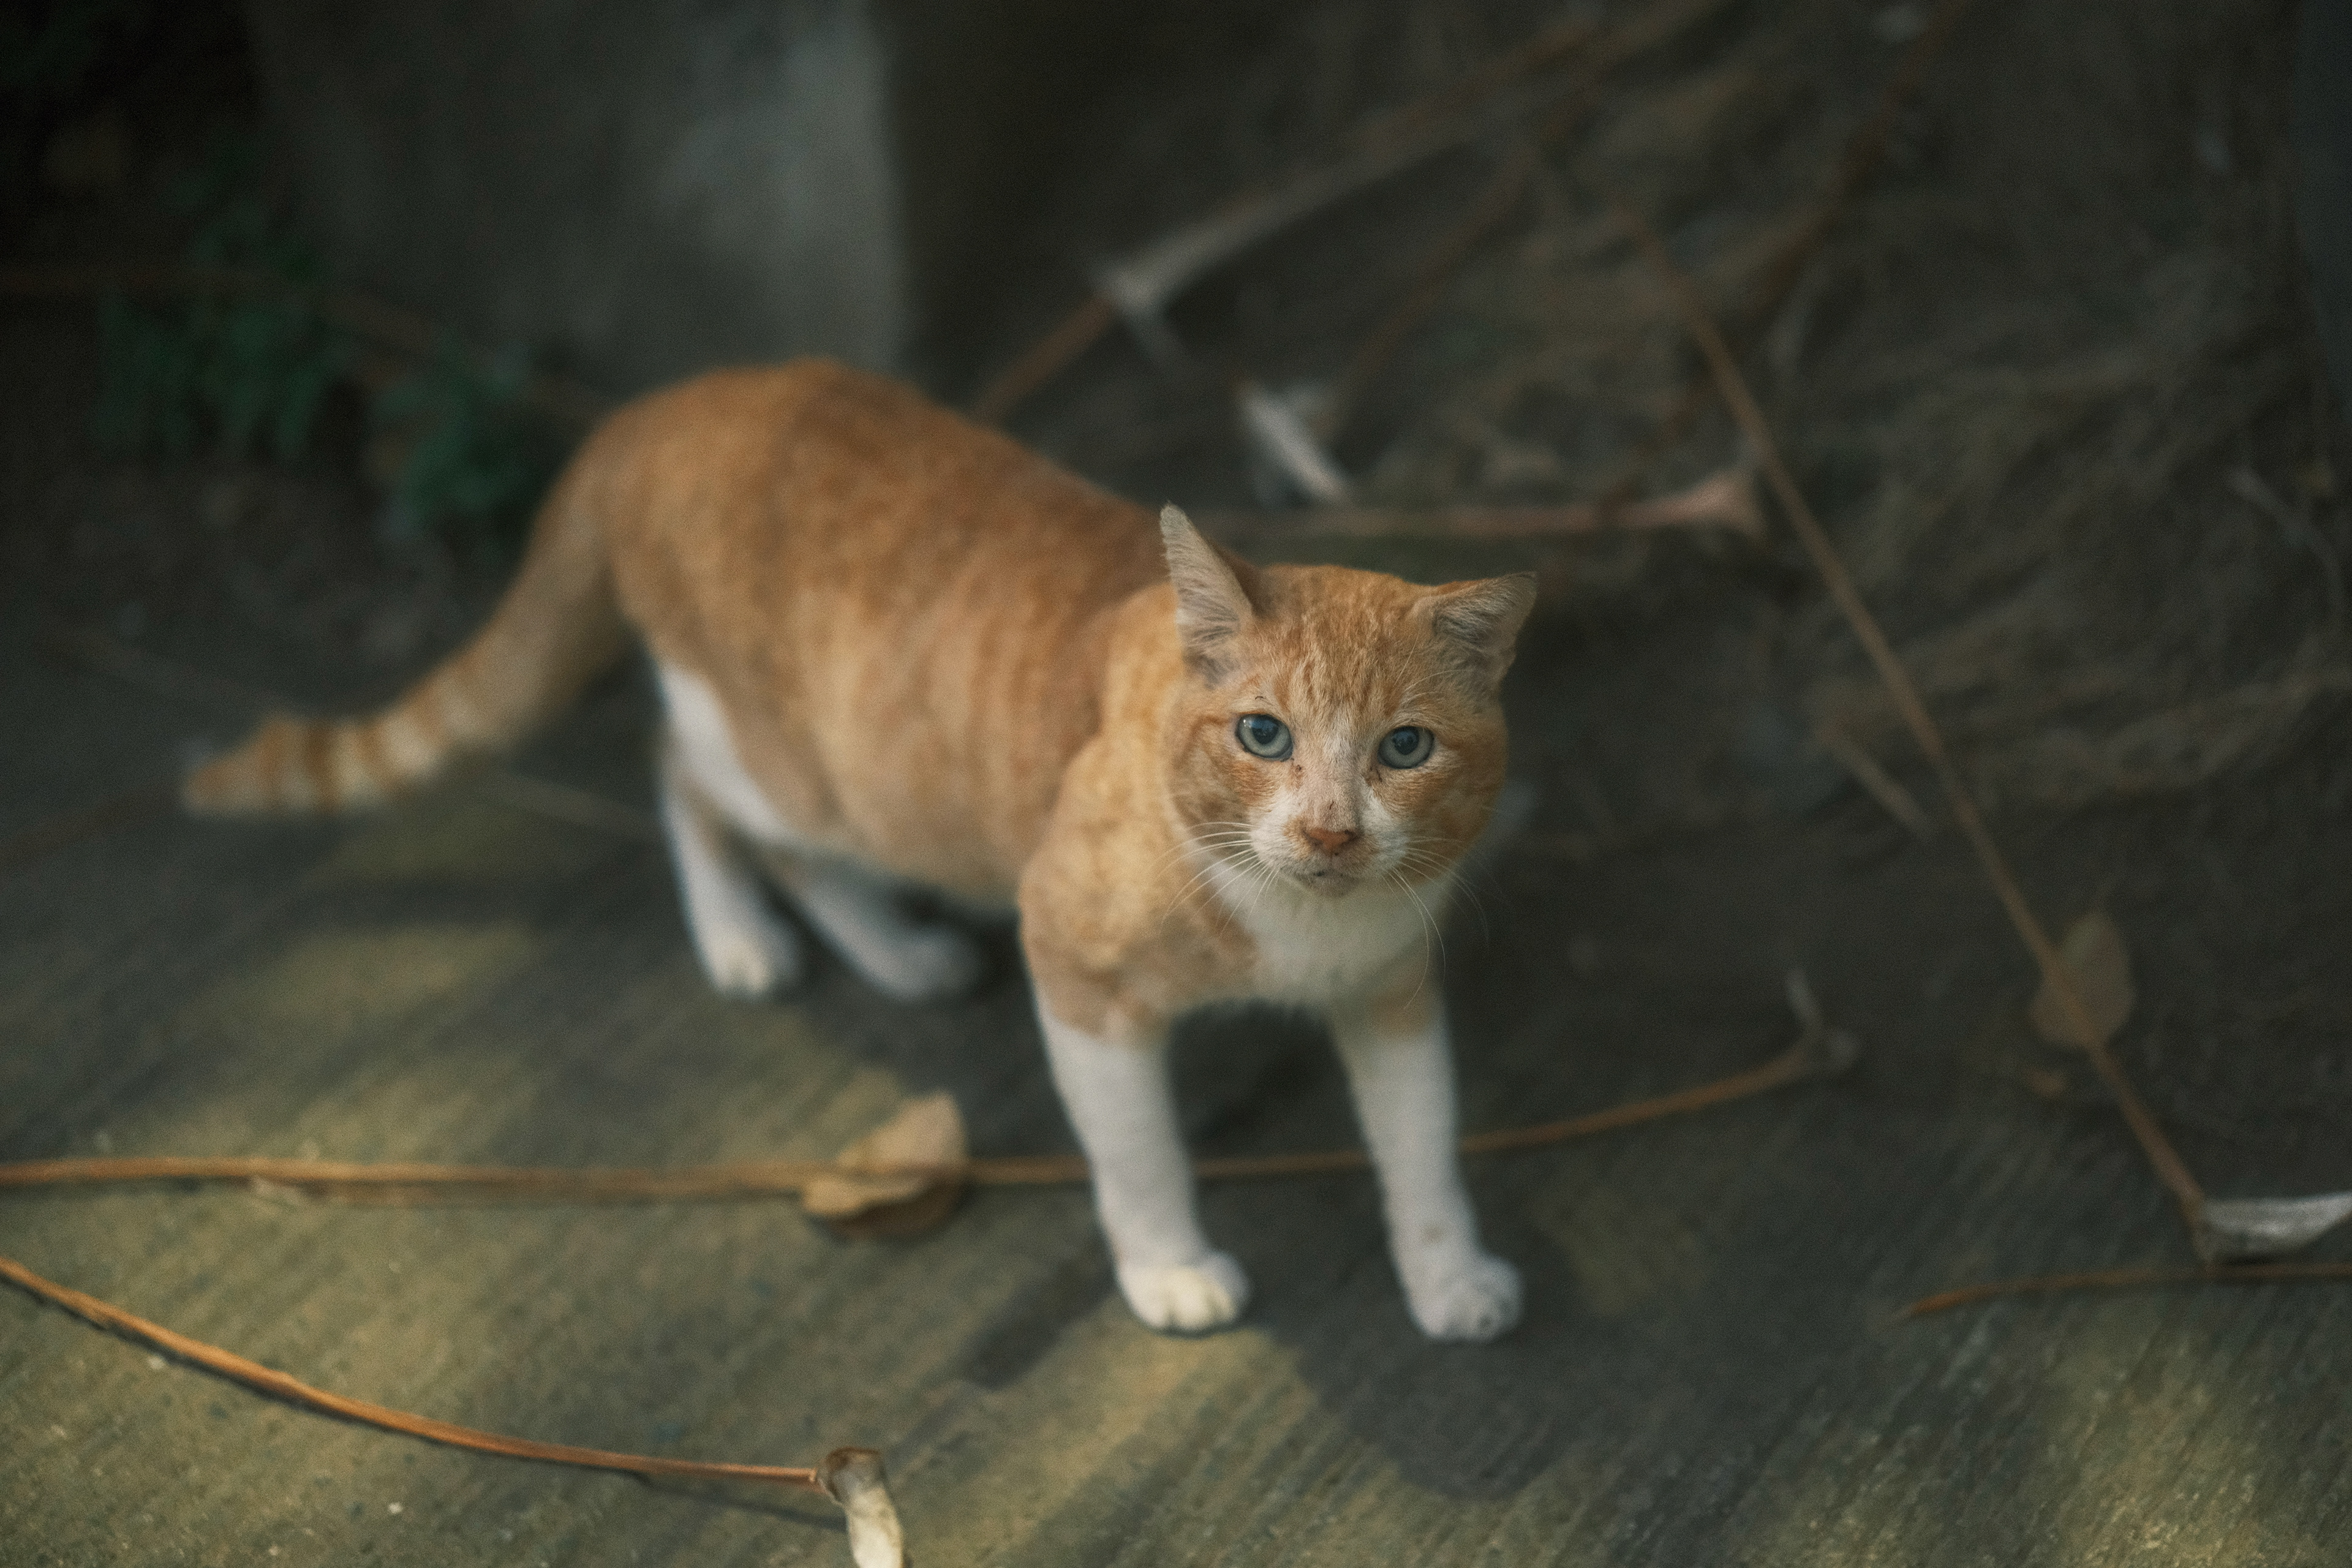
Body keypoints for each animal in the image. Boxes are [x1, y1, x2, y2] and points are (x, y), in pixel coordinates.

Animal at [184, 360, 1536, 1341]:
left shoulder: (1391, 991)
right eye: (1264, 735)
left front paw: (1448, 1274)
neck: (1300, 926)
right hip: (792, 762)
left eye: (1405, 748)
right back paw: (770, 939)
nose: (1329, 828)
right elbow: (1136, 1152)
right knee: (687, 775)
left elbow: (1423, 1143)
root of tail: (672, 403)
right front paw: (1170, 1267)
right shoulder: (1078, 972)